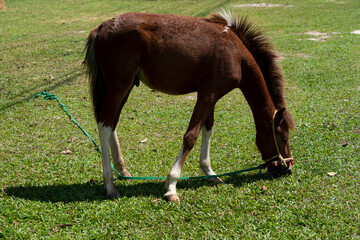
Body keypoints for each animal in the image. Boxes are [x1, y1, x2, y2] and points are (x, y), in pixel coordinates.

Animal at [84, 10, 296, 201]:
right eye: (283, 138)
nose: (288, 168)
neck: (235, 52)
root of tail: (101, 27)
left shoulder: (212, 95)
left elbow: (207, 129)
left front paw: (209, 172)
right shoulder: (207, 95)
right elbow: (191, 136)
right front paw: (171, 185)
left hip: (126, 88)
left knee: (113, 122)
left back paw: (123, 170)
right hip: (118, 87)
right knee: (105, 123)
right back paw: (110, 185)